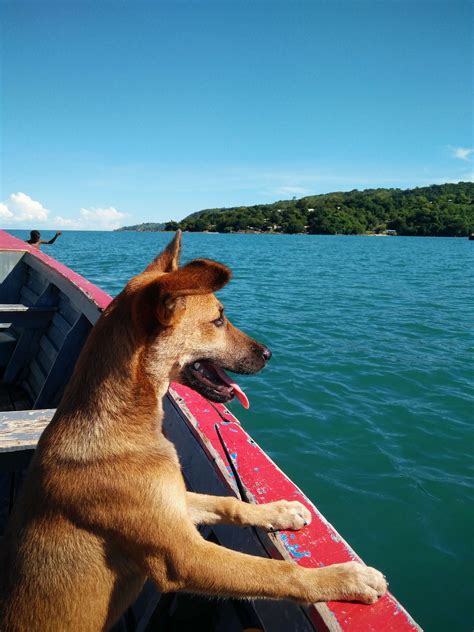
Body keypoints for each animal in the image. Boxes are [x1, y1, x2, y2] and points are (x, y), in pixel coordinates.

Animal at [0, 232, 386, 632]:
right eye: (218, 319)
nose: (268, 353)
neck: (121, 425)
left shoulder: (175, 505)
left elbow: (229, 503)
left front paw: (279, 511)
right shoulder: (184, 556)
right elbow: (276, 572)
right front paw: (346, 578)